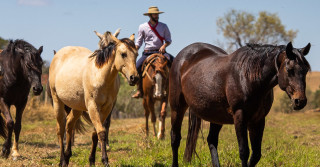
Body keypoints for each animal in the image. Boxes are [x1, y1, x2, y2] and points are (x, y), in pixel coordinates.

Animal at [49, 29, 139, 166]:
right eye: (123, 54)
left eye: (136, 54)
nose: (134, 78)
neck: (100, 76)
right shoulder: (92, 106)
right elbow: (101, 132)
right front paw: (105, 160)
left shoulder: (107, 108)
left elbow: (96, 133)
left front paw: (92, 160)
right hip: (57, 102)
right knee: (60, 129)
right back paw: (62, 160)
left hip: (77, 107)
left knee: (69, 125)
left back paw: (68, 156)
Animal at [169, 42, 312, 167]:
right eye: (289, 69)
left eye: (305, 70)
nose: (300, 101)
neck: (249, 77)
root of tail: (181, 57)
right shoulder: (240, 116)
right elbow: (244, 151)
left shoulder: (258, 120)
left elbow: (256, 154)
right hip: (177, 108)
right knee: (175, 138)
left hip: (216, 116)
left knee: (212, 140)